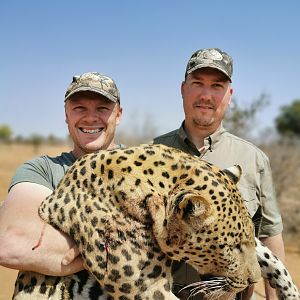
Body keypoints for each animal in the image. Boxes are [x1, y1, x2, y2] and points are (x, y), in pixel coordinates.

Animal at [12, 144, 298, 298]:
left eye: (246, 241)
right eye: (229, 248)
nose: (253, 282)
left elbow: (270, 256)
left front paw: (291, 292)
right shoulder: (146, 288)